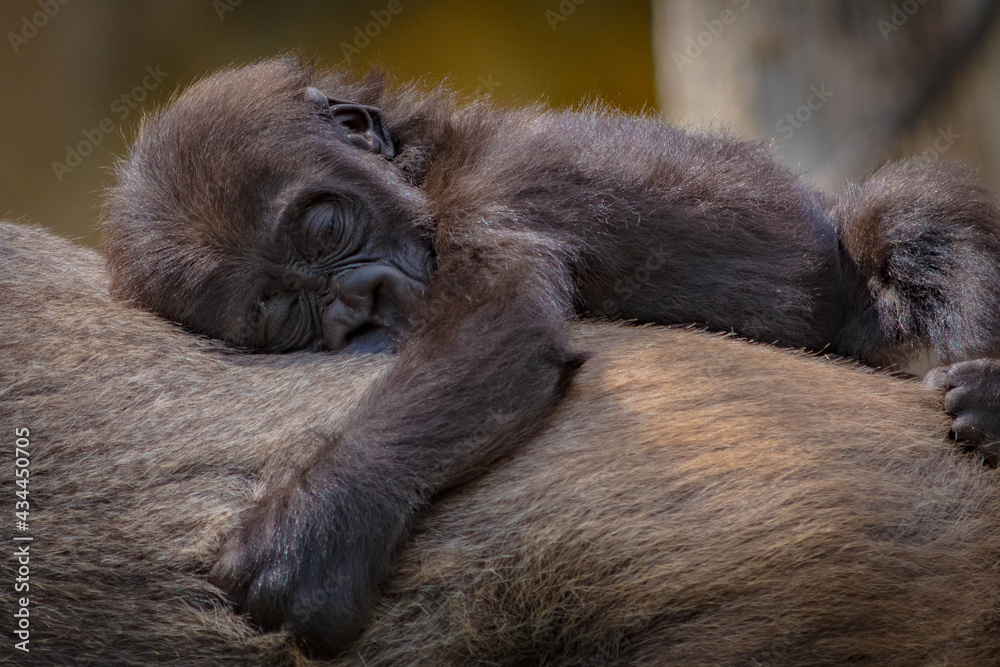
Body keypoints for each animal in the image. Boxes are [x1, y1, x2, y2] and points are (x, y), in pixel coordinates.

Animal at [100, 56, 1000, 653]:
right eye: (283, 313)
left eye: (325, 227)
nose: (356, 307)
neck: (426, 162)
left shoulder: (494, 198)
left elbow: (495, 329)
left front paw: (318, 523)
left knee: (904, 215)